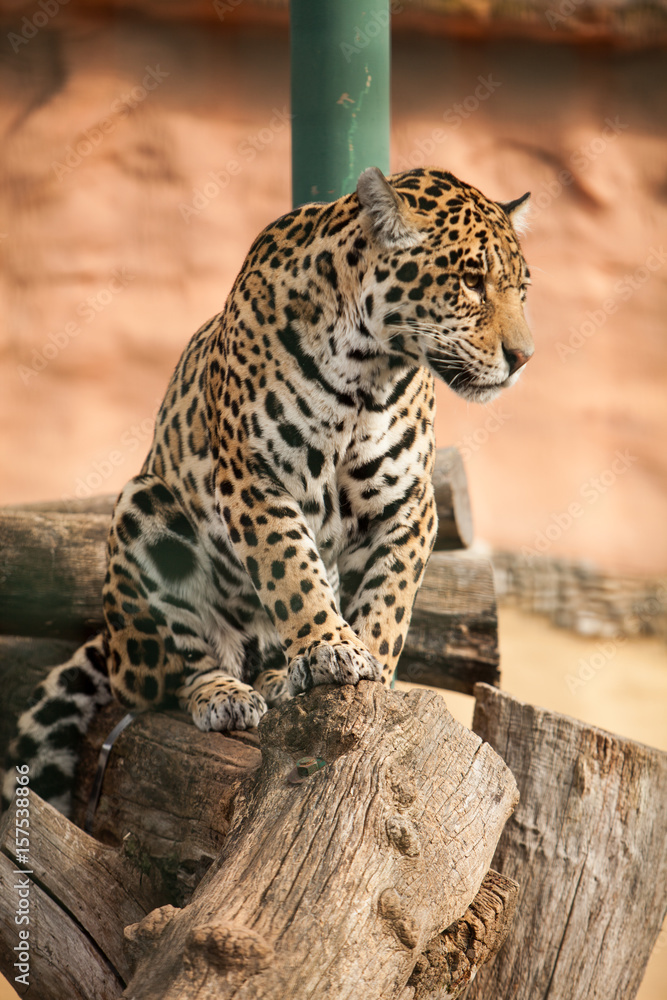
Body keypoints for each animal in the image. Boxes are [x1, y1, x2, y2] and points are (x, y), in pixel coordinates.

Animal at [2, 166, 533, 816]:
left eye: (522, 290)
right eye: (470, 281)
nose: (523, 358)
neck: (370, 371)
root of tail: (111, 640)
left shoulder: (410, 505)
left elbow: (388, 604)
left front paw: (372, 675)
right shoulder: (256, 478)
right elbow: (292, 571)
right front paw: (331, 648)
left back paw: (281, 679)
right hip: (142, 510)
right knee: (170, 672)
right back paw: (226, 693)